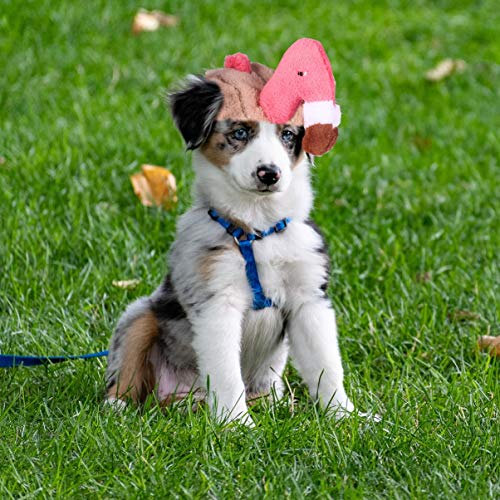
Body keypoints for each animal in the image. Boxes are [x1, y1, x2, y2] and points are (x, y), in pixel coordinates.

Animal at [105, 74, 356, 424]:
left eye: (288, 135)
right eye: (240, 132)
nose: (269, 173)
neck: (258, 229)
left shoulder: (309, 299)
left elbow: (327, 365)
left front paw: (347, 418)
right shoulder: (216, 302)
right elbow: (225, 372)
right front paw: (237, 424)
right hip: (140, 315)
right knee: (126, 369)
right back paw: (118, 408)